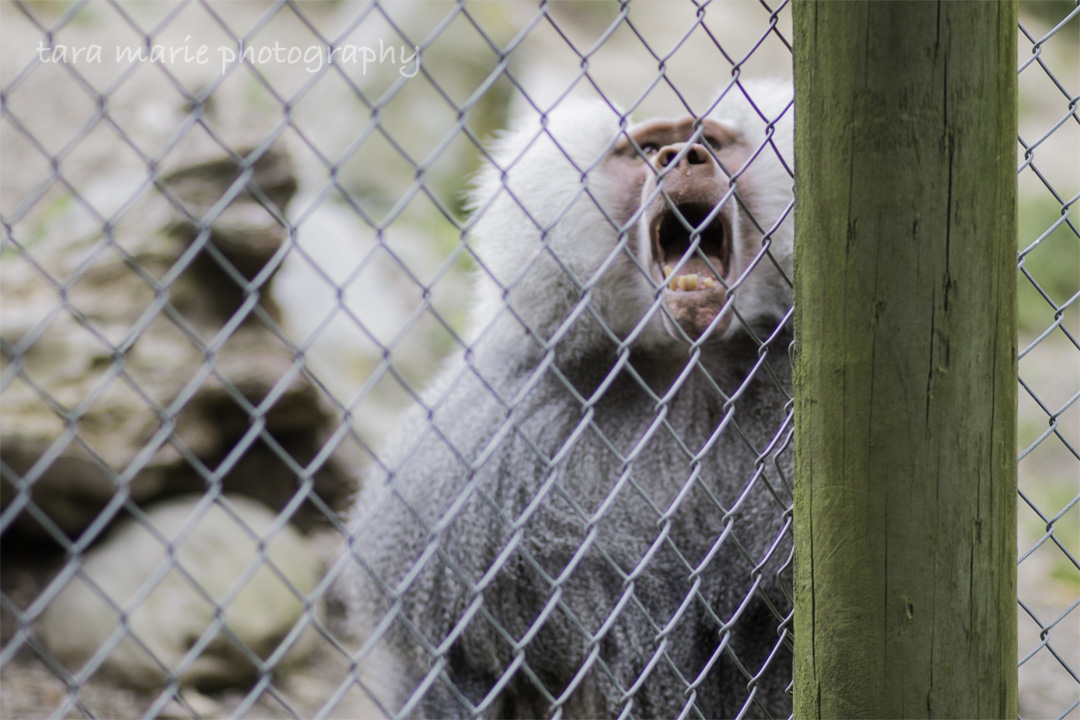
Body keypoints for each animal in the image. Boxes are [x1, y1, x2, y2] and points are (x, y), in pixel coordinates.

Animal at [336, 79, 795, 719]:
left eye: (710, 140)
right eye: (647, 149)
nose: (685, 158)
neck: (686, 371)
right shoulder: (489, 448)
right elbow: (467, 665)